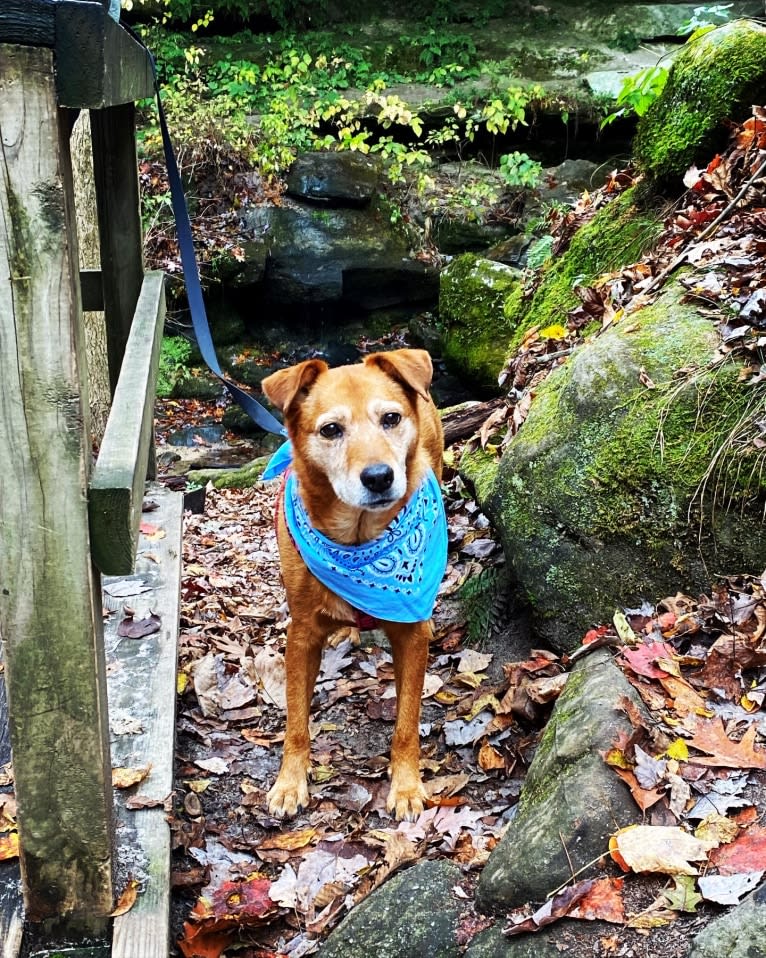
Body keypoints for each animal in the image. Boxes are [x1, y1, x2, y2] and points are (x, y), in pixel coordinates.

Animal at [262, 348, 448, 820]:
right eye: (331, 429)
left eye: (390, 418)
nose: (379, 476)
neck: (360, 541)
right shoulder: (301, 636)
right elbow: (296, 720)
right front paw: (289, 783)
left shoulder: (411, 635)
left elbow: (406, 722)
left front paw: (405, 786)